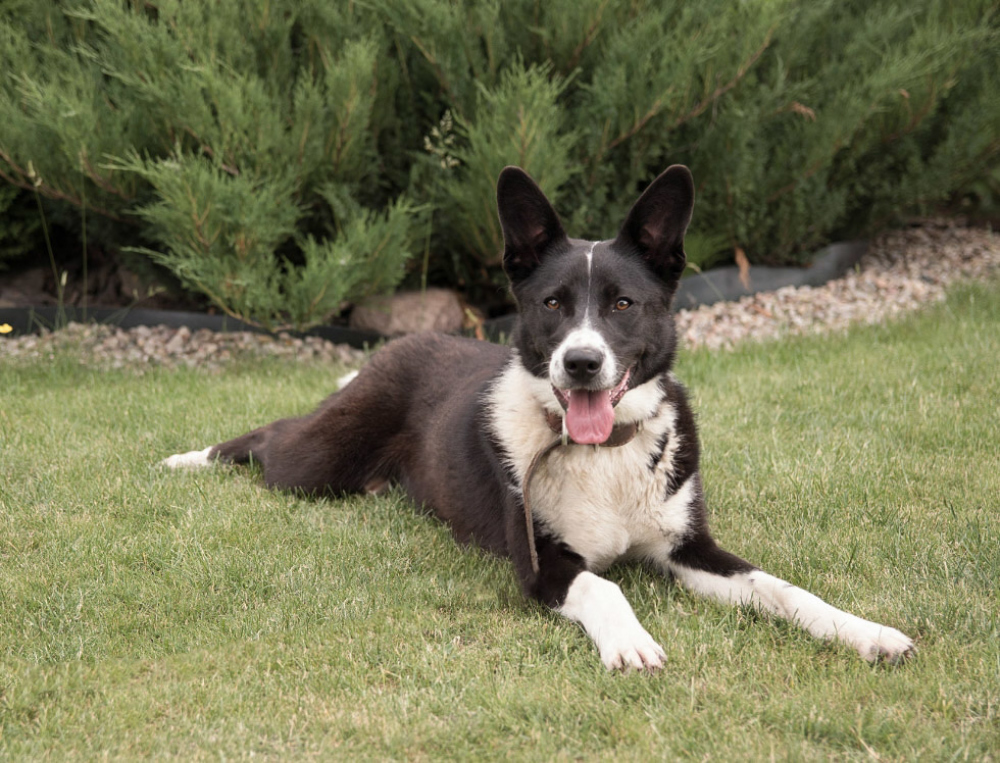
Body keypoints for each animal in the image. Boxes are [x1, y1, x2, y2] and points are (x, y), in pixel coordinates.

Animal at [164, 165, 914, 670]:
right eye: (552, 303)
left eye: (622, 304)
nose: (581, 363)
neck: (603, 456)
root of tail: (399, 342)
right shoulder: (542, 565)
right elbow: (606, 587)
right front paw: (631, 641)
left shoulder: (688, 548)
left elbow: (784, 590)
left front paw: (867, 632)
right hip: (317, 463)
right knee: (272, 439)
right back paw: (187, 458)